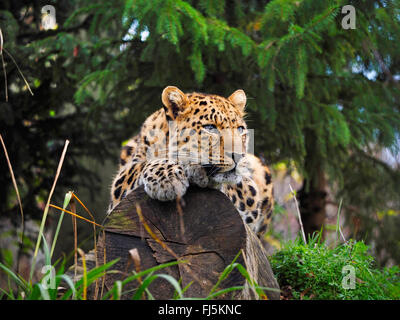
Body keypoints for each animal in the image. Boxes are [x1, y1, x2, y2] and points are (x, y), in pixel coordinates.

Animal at [108, 86, 274, 236]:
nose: (239, 156)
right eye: (210, 127)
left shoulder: (247, 189)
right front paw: (167, 180)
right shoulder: (118, 192)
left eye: (240, 129)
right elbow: (142, 165)